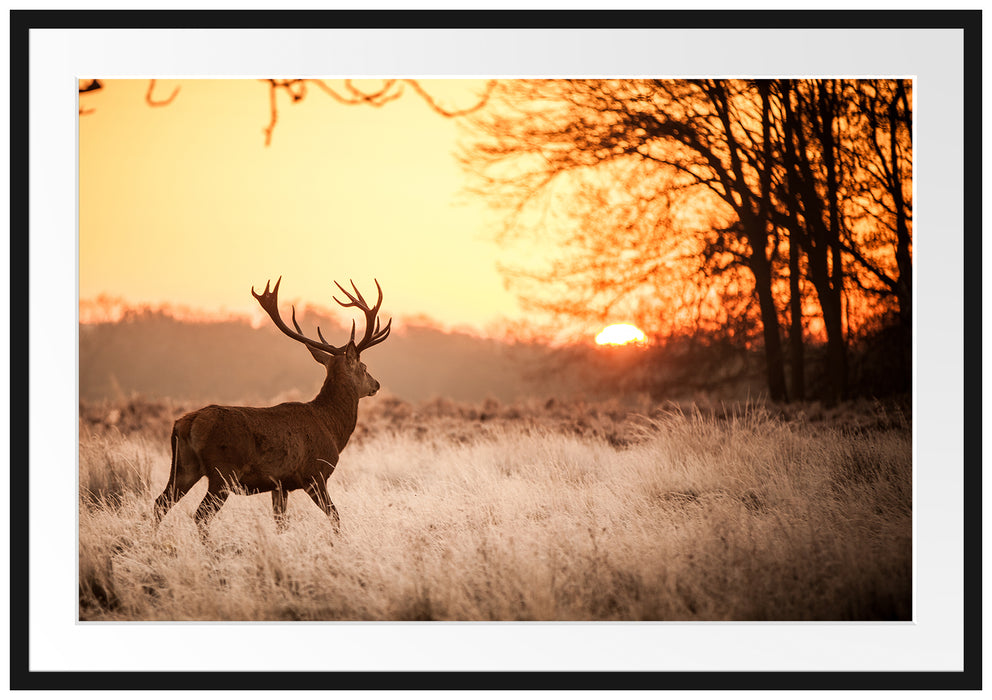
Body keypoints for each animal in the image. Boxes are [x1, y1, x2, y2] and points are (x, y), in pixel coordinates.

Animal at [151, 276, 392, 532]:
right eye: (364, 367)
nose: (376, 384)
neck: (332, 427)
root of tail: (187, 423)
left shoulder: (280, 484)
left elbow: (280, 522)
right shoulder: (315, 474)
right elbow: (335, 515)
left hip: (183, 467)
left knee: (160, 503)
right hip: (223, 471)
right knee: (201, 514)